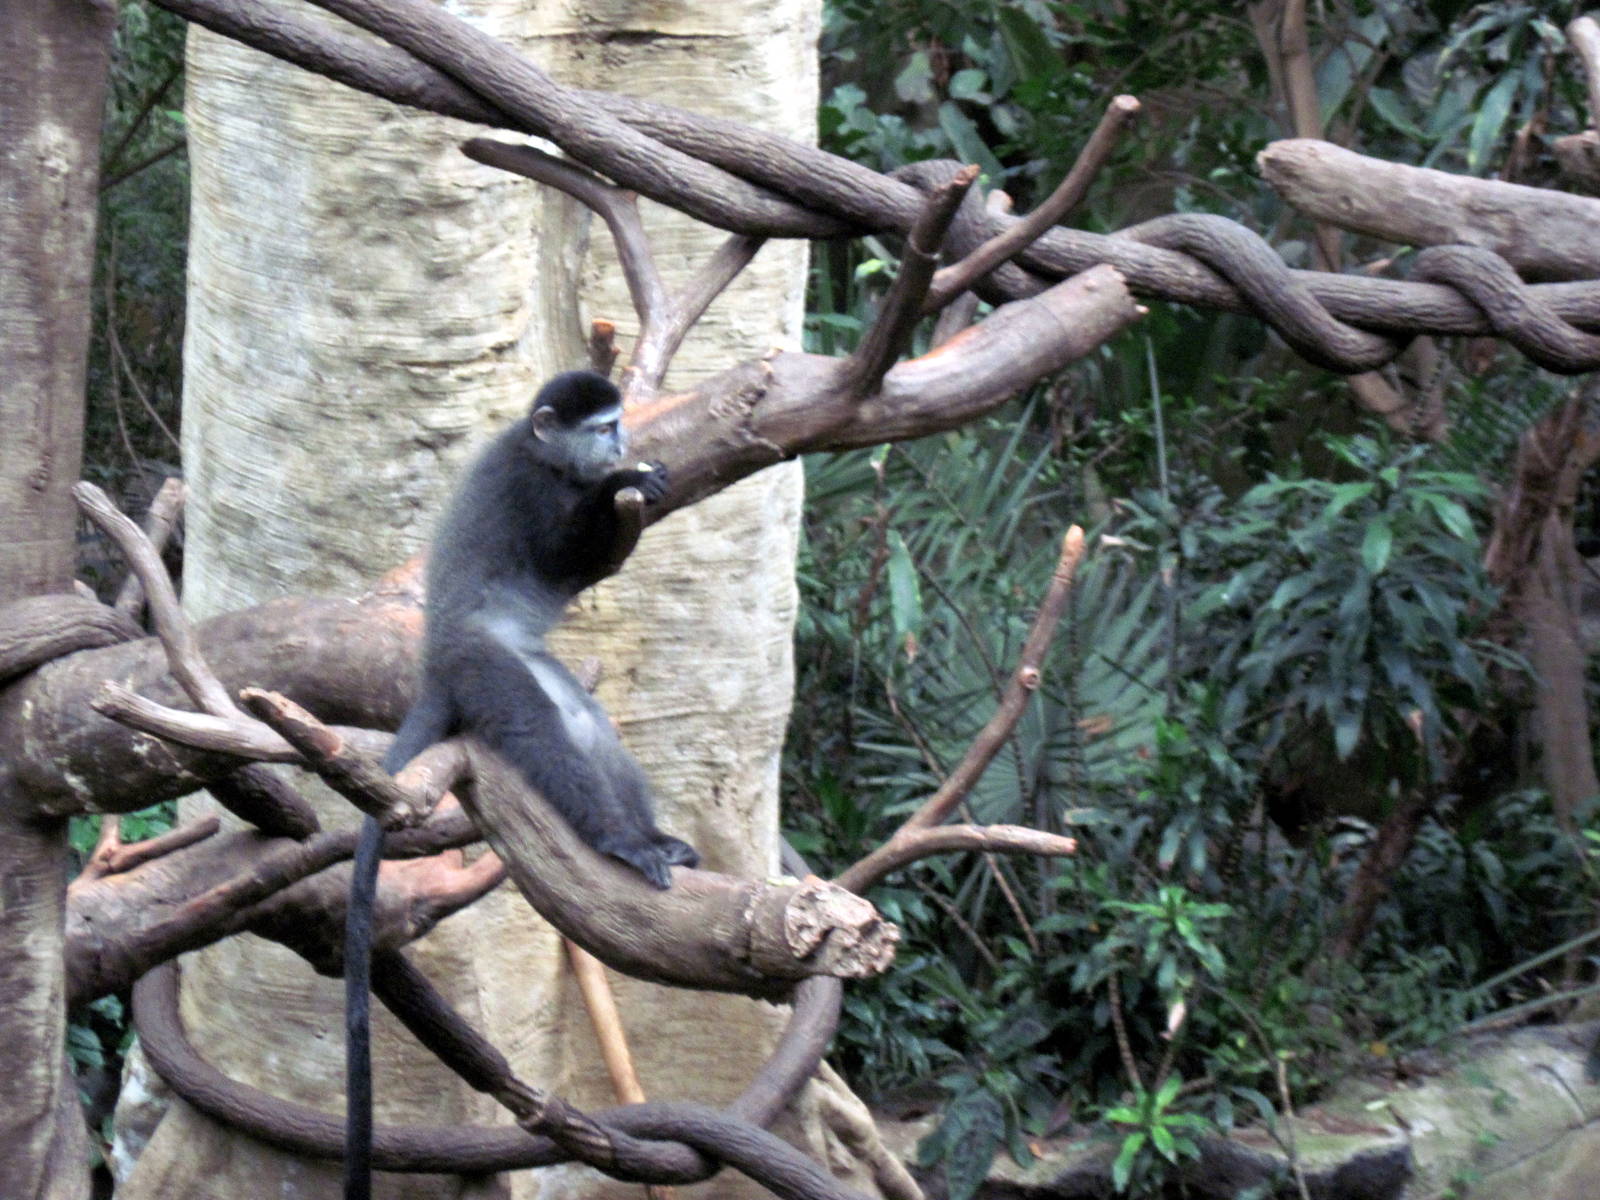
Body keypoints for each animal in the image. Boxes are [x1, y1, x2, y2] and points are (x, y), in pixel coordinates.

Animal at [343, 369, 698, 1200]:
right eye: (602, 426)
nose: (623, 439)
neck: (548, 460)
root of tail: (437, 663)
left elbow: (577, 572)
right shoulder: (529, 487)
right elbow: (560, 549)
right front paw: (622, 486)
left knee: (585, 722)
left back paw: (647, 837)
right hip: (485, 668)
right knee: (540, 726)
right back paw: (620, 841)